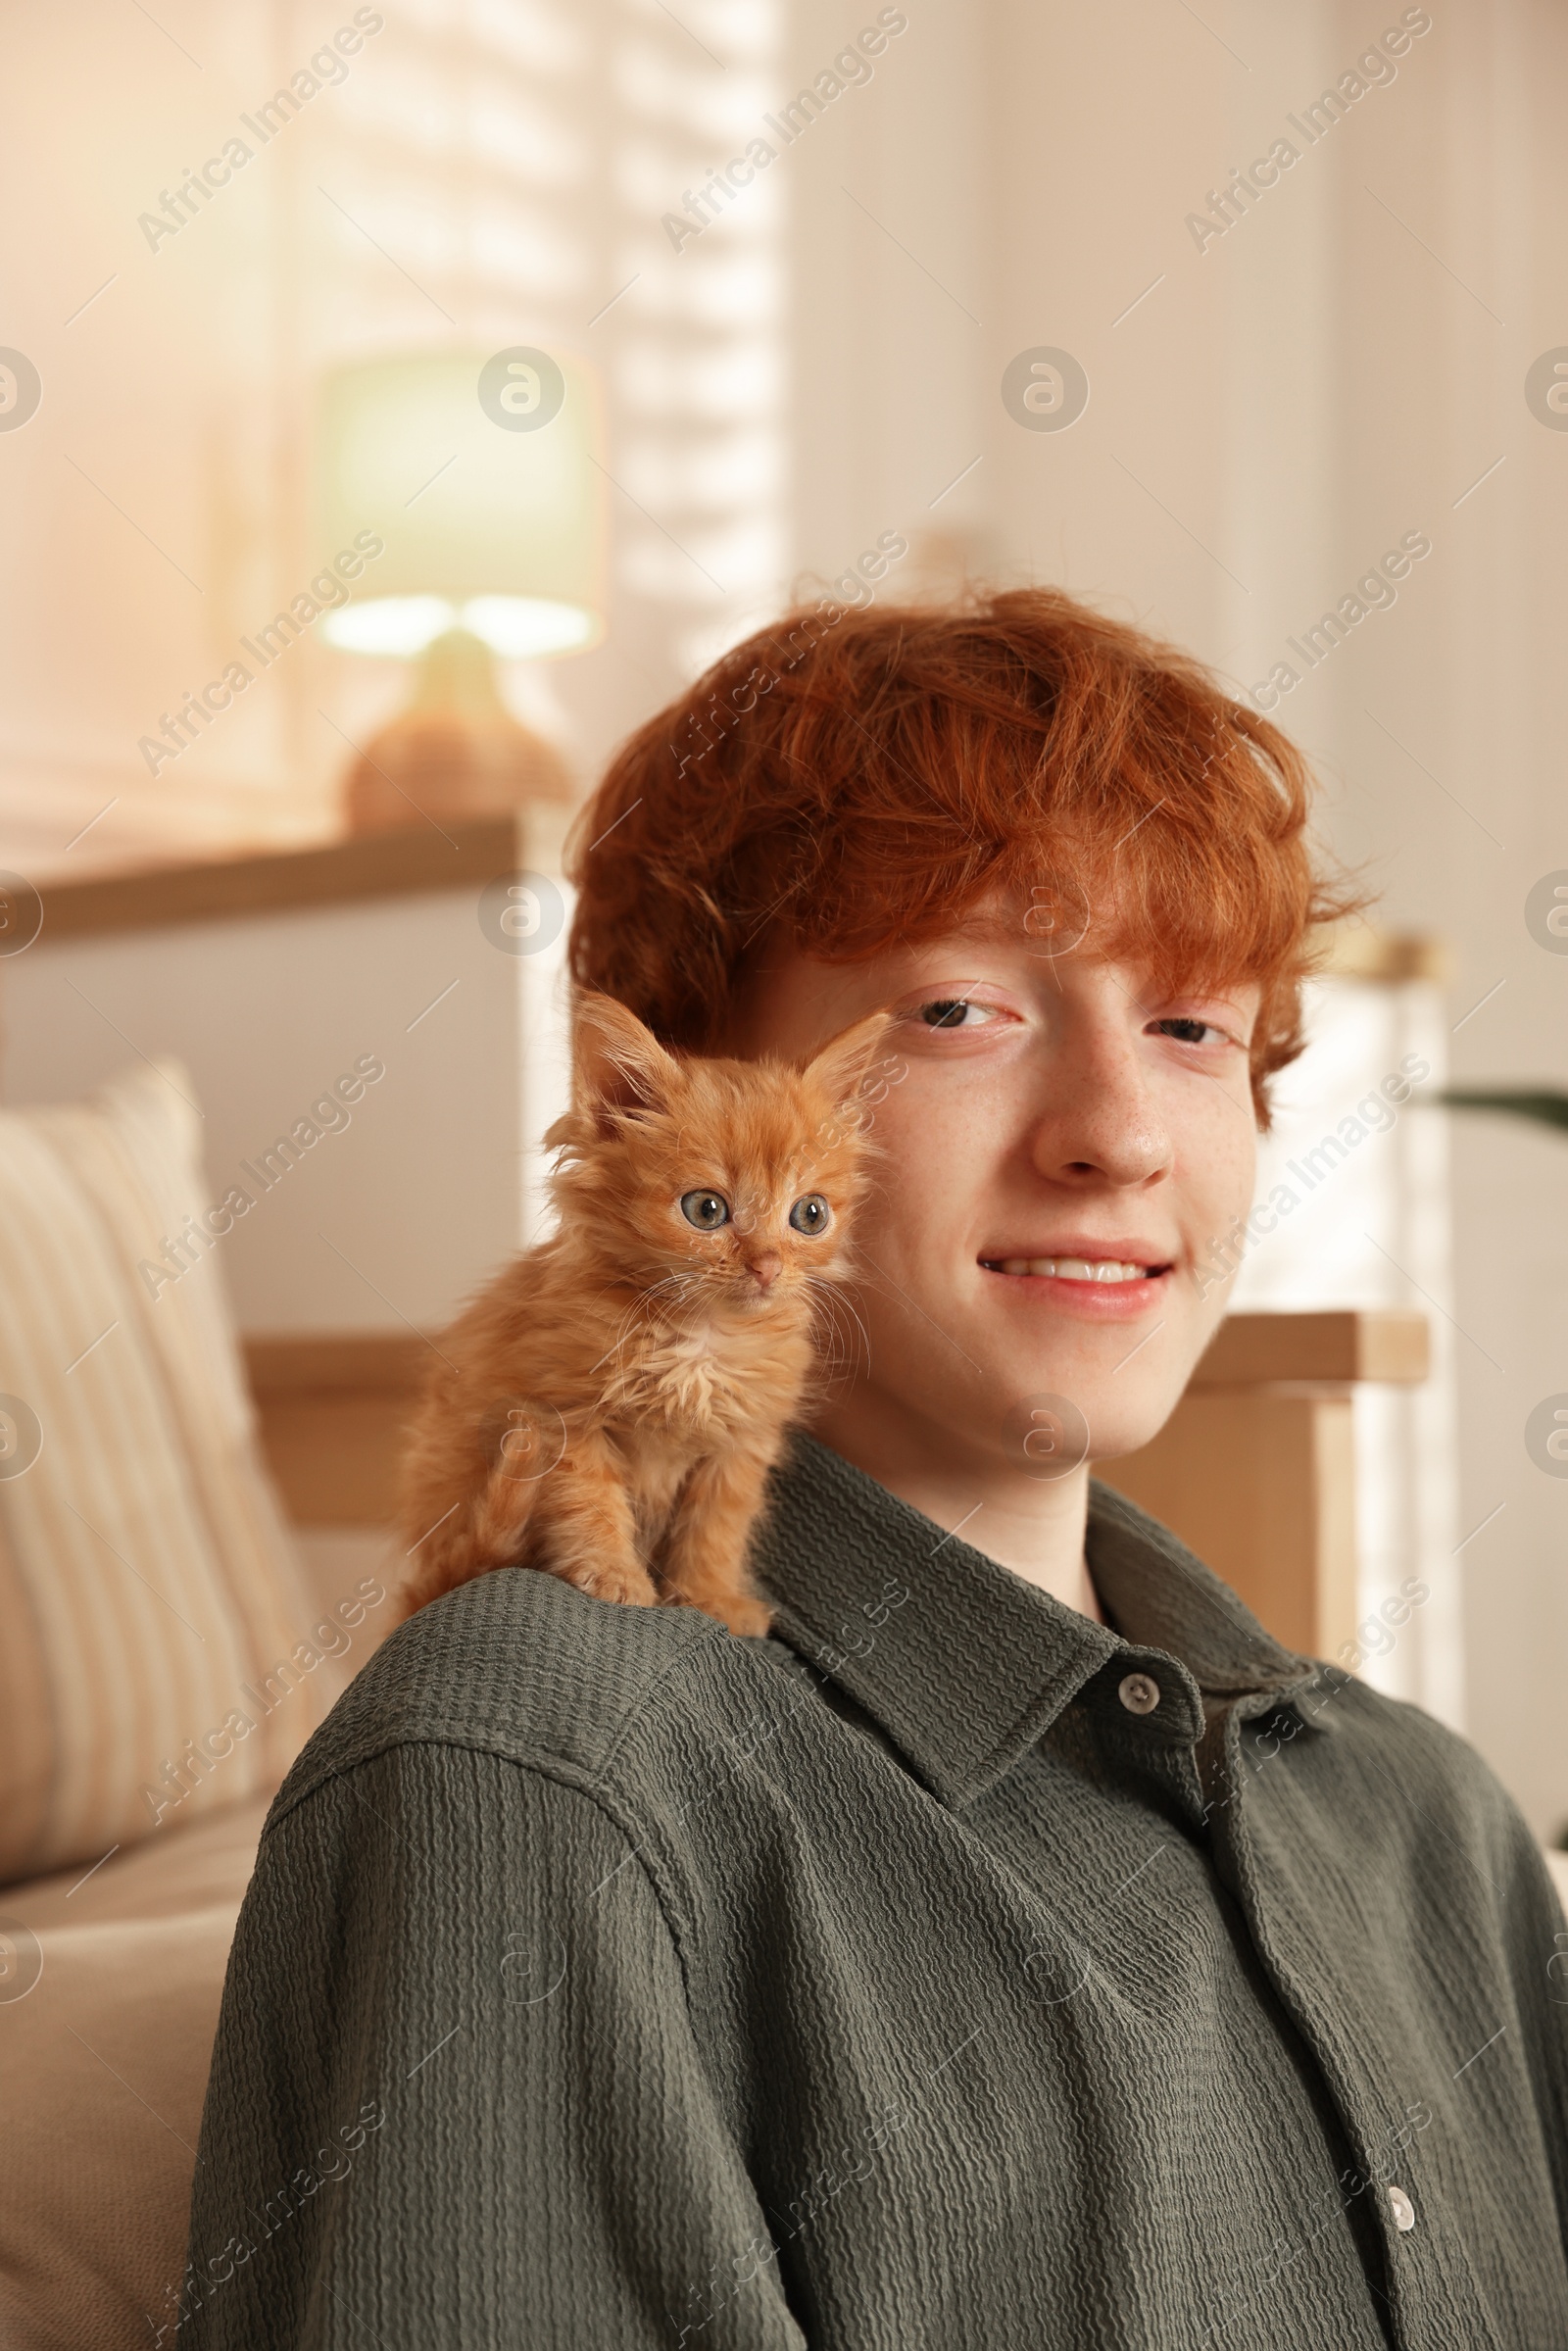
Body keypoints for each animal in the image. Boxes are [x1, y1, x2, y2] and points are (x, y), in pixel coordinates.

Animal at [399, 992, 888, 1636]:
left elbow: (717, 1526)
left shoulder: (740, 1443)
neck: (699, 1339)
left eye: (810, 1215)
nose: (767, 1266)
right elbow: (588, 1503)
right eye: (706, 1210)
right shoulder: (563, 1415)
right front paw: (613, 1575)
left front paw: (711, 1597)